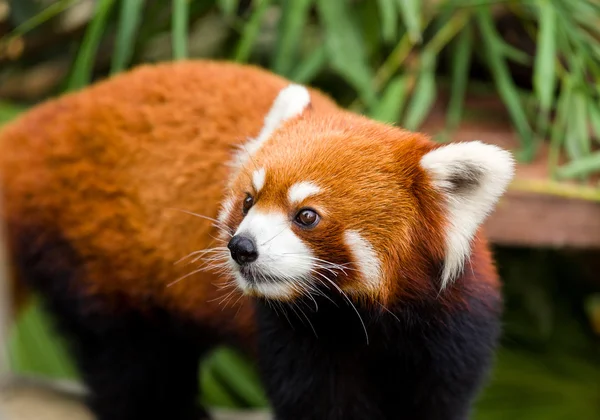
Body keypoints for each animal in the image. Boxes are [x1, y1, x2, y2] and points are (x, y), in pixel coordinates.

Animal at [1, 60, 516, 420]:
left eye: (306, 216)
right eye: (248, 201)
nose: (241, 248)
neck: (362, 316)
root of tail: (39, 122)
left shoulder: (450, 329)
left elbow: (437, 397)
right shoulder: (293, 337)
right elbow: (316, 402)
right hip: (91, 248)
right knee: (126, 354)